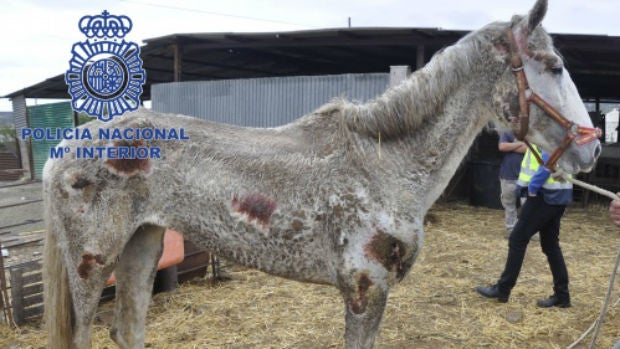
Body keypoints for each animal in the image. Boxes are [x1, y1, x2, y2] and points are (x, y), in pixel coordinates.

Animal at [42, 1, 600, 346]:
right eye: (552, 65)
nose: (591, 150)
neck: (384, 165)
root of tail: (61, 149)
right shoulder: (365, 289)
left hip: (143, 245)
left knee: (128, 330)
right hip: (92, 262)